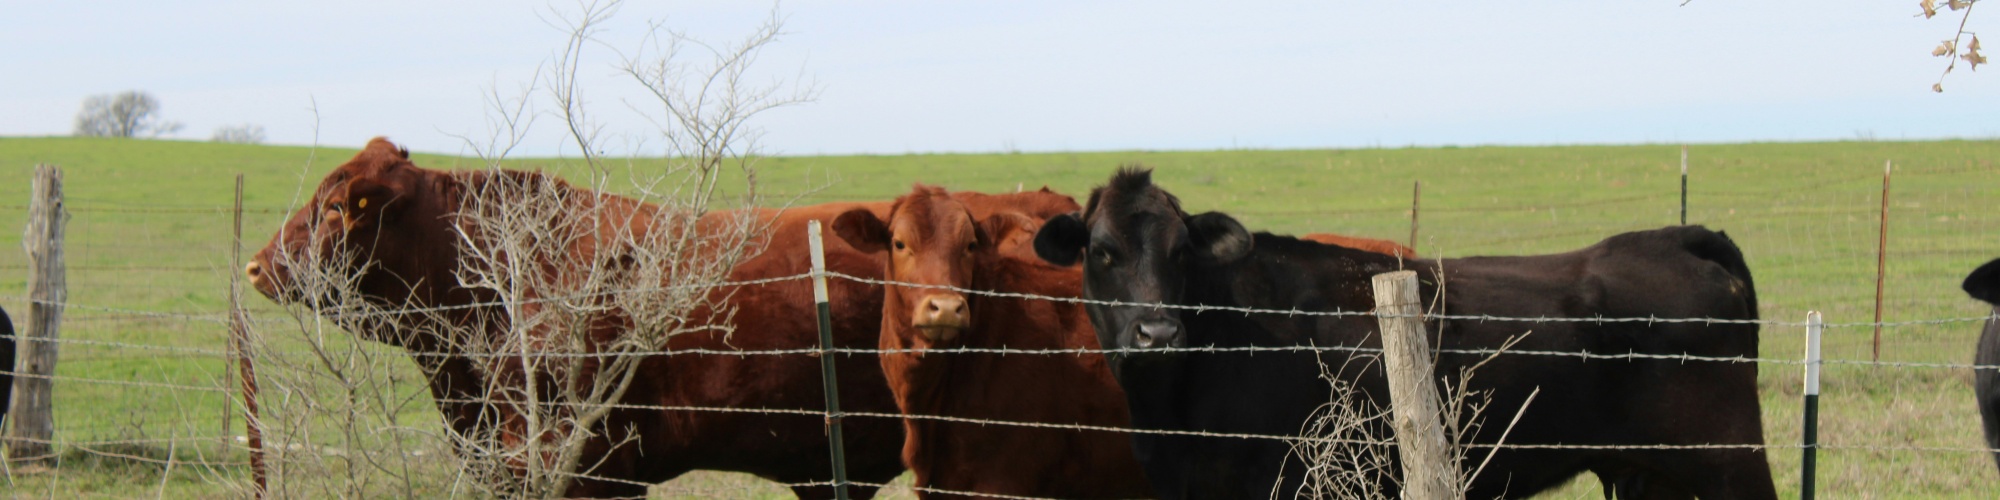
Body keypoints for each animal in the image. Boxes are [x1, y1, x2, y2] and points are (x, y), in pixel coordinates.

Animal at [1040, 169, 1776, 500]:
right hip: (1648, 471)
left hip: (1728, 461)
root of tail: (1674, 237)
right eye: (1101, 252)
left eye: (1182, 252)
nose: (1158, 330)